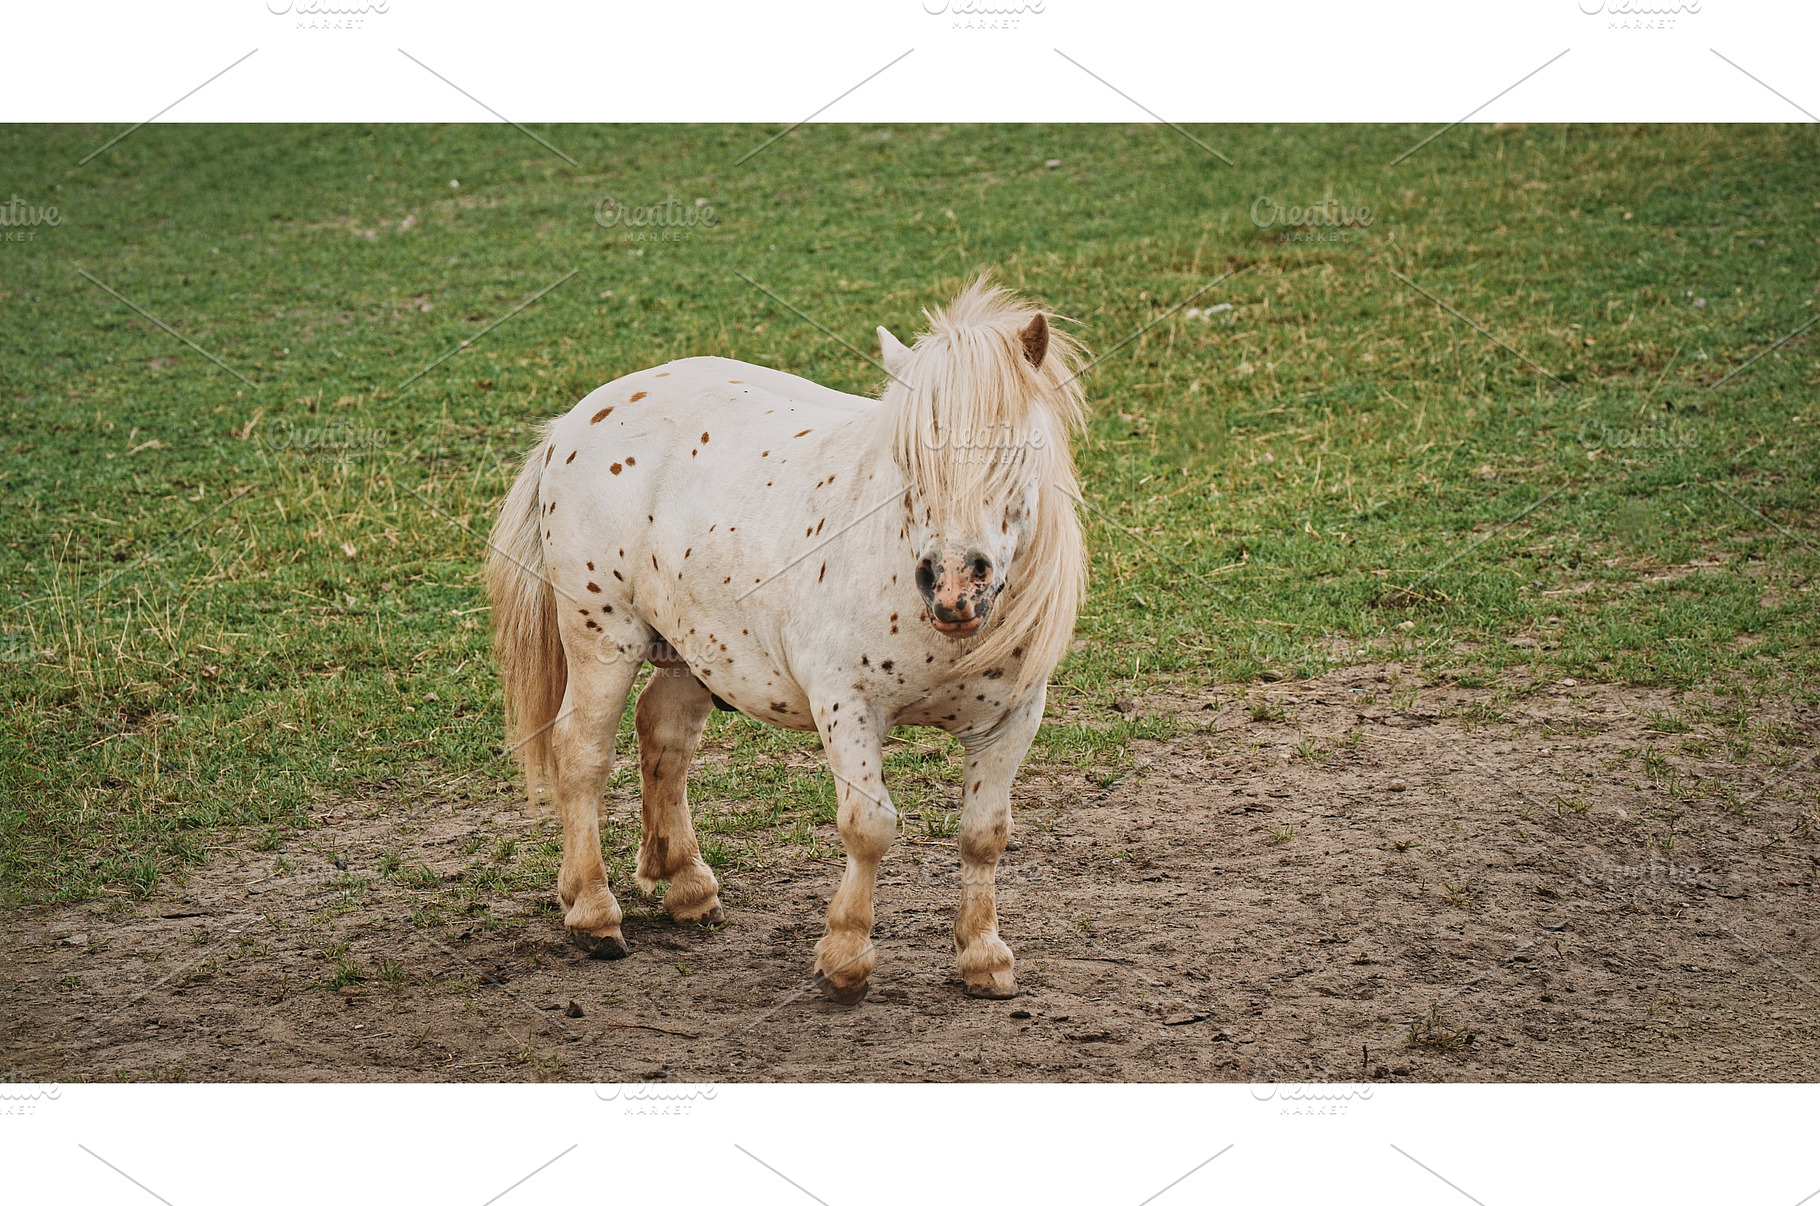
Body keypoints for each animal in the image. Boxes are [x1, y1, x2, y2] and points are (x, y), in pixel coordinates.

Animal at [484, 277, 1088, 1002]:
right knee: (581, 753)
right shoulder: (847, 704)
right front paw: (846, 956)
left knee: (663, 733)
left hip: (694, 647)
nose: (951, 583)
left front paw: (983, 957)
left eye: (1012, 450)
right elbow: (868, 828)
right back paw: (593, 910)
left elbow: (984, 837)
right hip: (603, 635)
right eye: (907, 458)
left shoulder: (1012, 719)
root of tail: (573, 423)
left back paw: (686, 884)